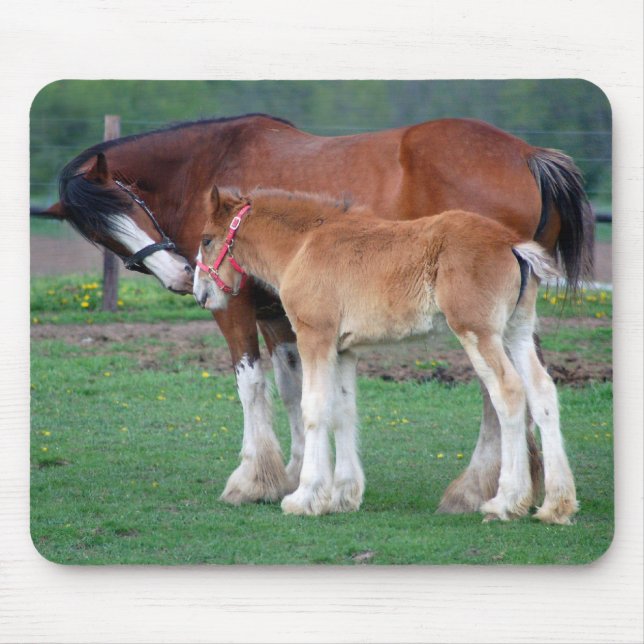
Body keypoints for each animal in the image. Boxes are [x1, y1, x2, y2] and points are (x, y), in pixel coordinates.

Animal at [192, 186, 578, 524]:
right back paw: (556, 506)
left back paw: (505, 502)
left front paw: (304, 498)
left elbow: (313, 408)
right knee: (542, 392)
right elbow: (343, 411)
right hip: (517, 331)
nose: (200, 293)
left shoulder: (315, 336)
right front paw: (342, 497)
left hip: (479, 331)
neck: (302, 246)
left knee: (508, 393)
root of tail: (511, 244)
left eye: (206, 239)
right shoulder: (345, 350)